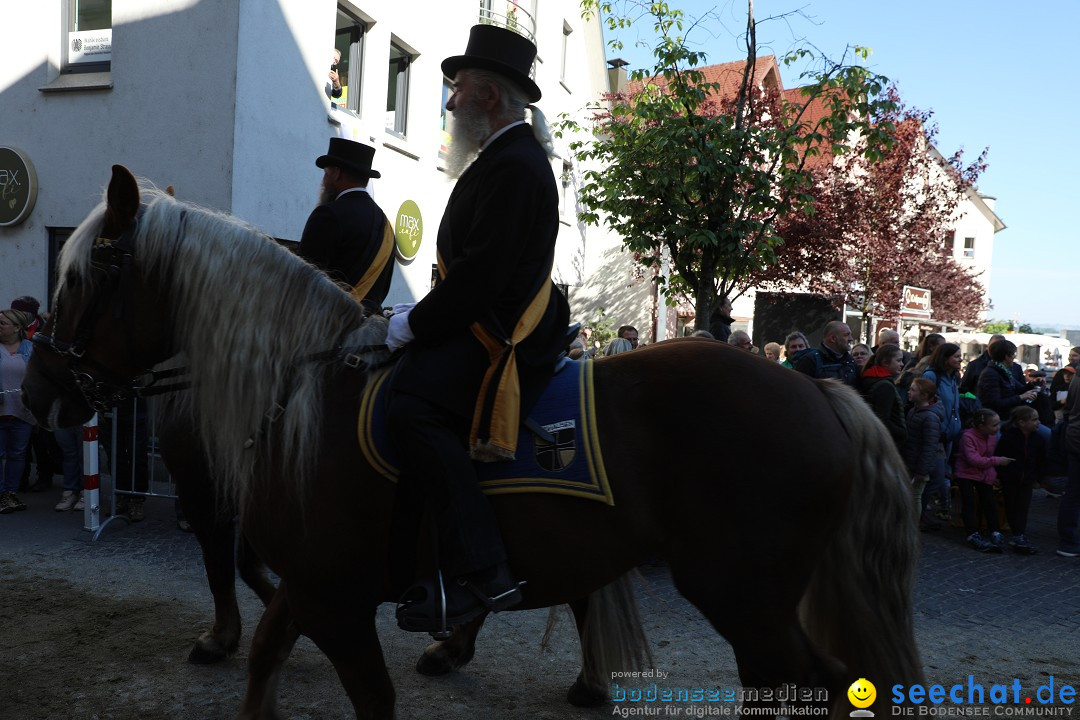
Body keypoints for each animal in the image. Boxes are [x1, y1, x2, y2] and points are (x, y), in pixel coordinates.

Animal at [21, 166, 924, 716]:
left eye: (82, 277)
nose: (38, 392)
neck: (300, 388)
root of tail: (817, 389)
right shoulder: (314, 586)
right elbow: (265, 656)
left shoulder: (324, 590)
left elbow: (343, 675)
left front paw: (219, 637)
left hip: (746, 599)